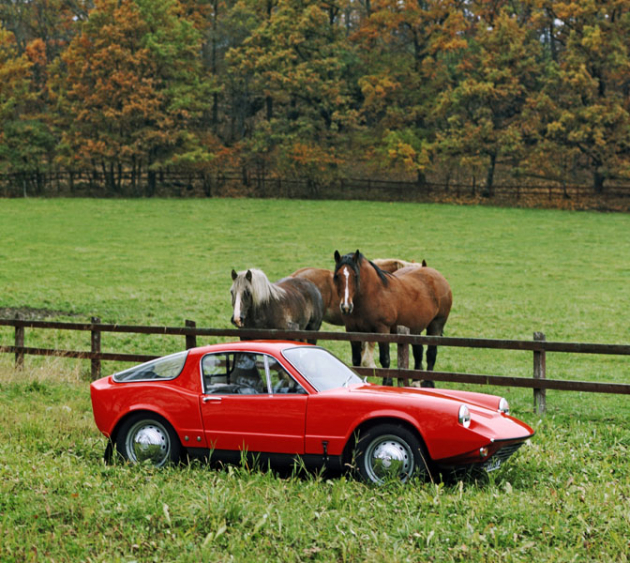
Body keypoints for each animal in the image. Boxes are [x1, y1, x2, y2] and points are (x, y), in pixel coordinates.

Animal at [334, 251, 452, 388]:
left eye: (355, 275)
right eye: (337, 276)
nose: (346, 307)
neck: (373, 294)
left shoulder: (382, 330)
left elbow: (384, 358)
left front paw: (387, 383)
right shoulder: (352, 331)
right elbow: (356, 359)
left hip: (436, 324)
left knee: (431, 353)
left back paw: (428, 383)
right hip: (414, 328)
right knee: (418, 351)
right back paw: (415, 381)